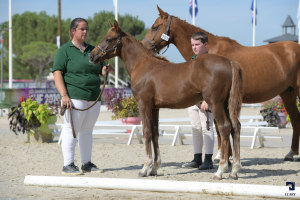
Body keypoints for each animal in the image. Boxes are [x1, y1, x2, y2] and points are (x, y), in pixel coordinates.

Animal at [88, 20, 243, 180]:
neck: (143, 65)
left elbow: (146, 132)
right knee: (235, 127)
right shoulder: (154, 107)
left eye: (108, 39)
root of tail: (229, 62)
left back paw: (220, 170)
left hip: (215, 103)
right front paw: (155, 168)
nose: (91, 56)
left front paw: (145, 168)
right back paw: (234, 170)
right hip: (225, 104)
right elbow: (155, 133)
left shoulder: (144, 104)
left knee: (224, 128)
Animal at [141, 5, 300, 162]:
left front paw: (224, 157)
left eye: (155, 27)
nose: (143, 46)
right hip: (288, 93)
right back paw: (291, 153)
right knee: (295, 118)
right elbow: (223, 127)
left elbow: (221, 126)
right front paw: (226, 156)